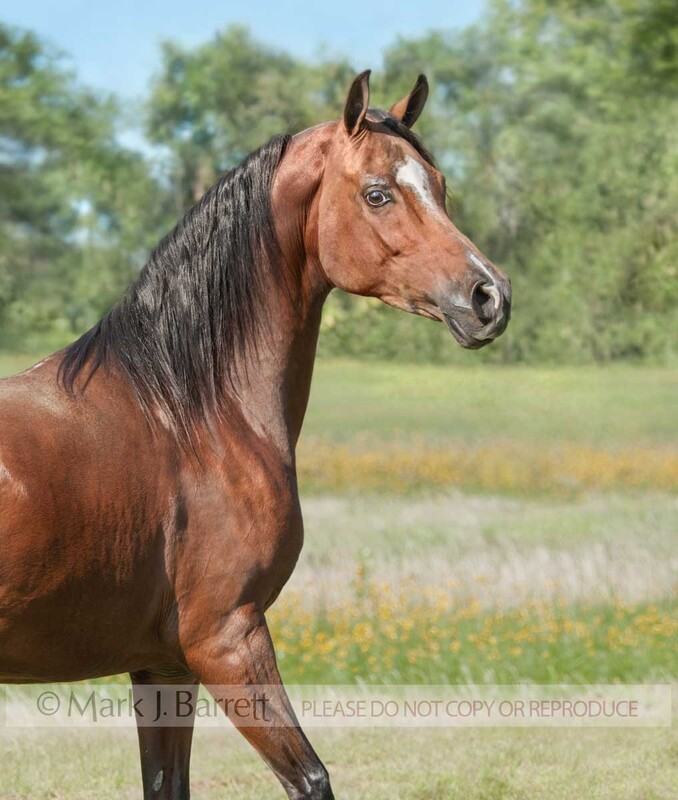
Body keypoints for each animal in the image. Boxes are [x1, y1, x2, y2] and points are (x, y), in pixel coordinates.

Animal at [0, 71, 510, 798]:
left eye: (439, 185)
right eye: (378, 192)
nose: (488, 297)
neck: (187, 412)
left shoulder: (164, 664)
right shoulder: (228, 641)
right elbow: (312, 779)